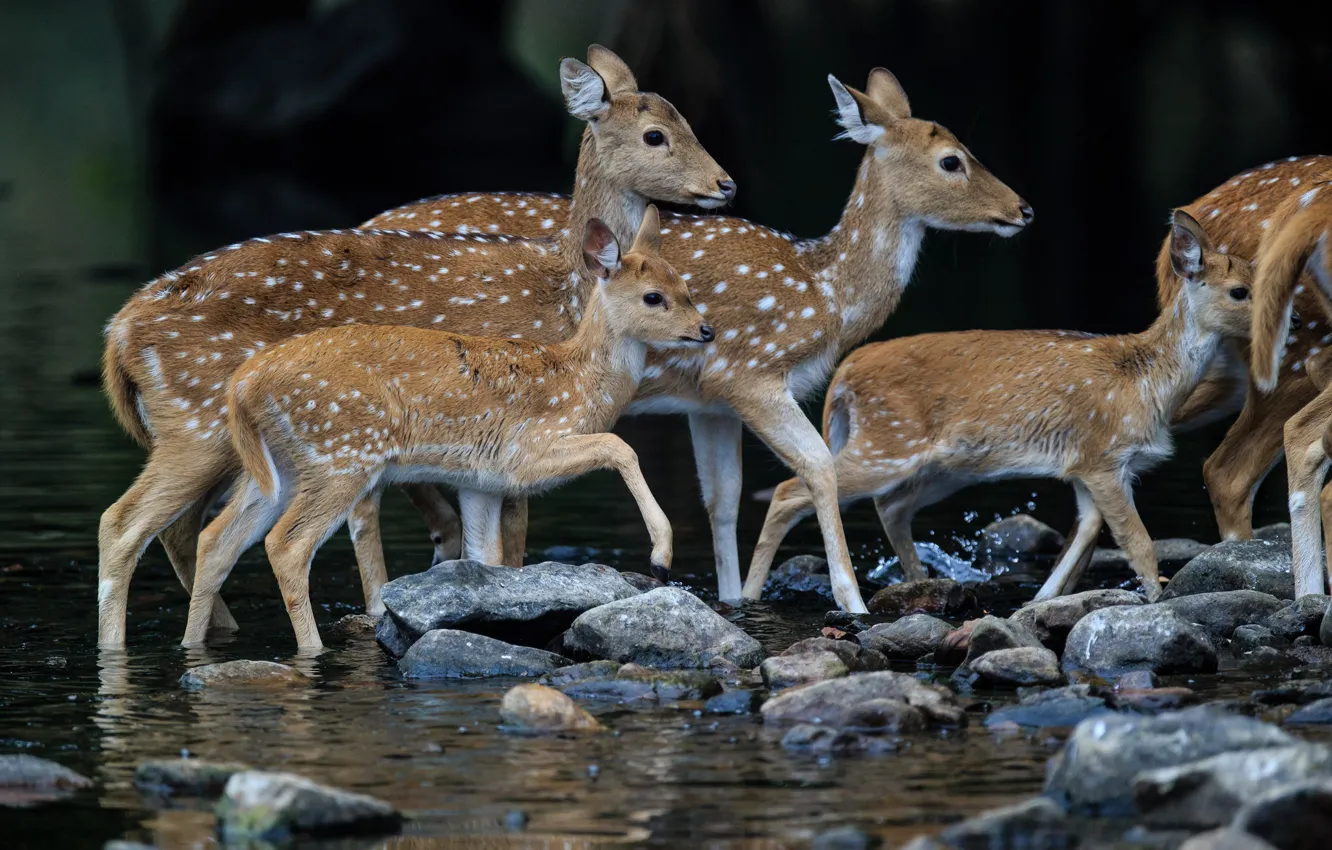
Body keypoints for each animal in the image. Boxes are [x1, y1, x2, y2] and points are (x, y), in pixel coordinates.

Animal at [181, 209, 709, 649]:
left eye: (687, 287)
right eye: (653, 297)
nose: (706, 330)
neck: (576, 381)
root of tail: (243, 384)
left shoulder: (481, 481)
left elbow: (485, 556)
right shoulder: (525, 453)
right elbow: (620, 445)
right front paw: (661, 558)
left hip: (281, 469)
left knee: (214, 541)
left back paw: (192, 646)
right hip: (341, 454)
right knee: (286, 547)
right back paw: (312, 649)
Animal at [354, 67, 1032, 615]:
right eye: (952, 160)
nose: (1023, 209)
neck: (827, 294)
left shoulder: (708, 403)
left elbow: (723, 500)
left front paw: (737, 597)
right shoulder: (751, 371)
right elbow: (817, 466)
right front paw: (850, 599)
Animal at [743, 212, 1253, 604]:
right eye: (1239, 291)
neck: (1147, 383)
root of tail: (846, 372)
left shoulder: (1085, 466)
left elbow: (1084, 535)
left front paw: (1039, 601)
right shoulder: (1104, 457)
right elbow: (1139, 543)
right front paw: (1156, 599)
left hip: (942, 465)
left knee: (891, 505)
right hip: (888, 442)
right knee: (793, 489)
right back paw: (751, 594)